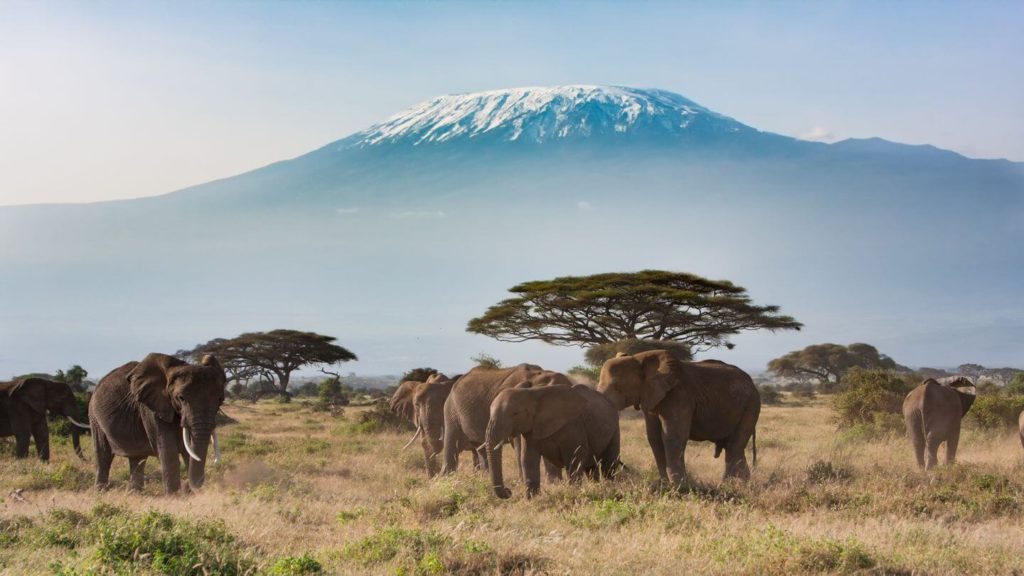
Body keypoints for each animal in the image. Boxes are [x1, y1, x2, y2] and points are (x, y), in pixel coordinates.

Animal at [89, 353, 226, 494]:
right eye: (181, 398)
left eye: (220, 399)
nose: (188, 486)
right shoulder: (152, 409)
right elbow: (168, 449)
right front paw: (174, 495)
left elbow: (187, 449)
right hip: (94, 417)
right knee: (103, 455)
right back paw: (100, 492)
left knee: (137, 457)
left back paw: (135, 493)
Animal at [485, 384, 620, 498]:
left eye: (515, 413)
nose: (509, 491)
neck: (532, 393)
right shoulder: (529, 430)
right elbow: (528, 459)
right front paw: (532, 500)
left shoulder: (573, 425)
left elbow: (574, 459)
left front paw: (574, 493)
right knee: (591, 469)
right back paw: (598, 486)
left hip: (614, 427)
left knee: (608, 466)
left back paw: (611, 487)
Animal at [597, 351, 760, 486]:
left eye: (617, 387)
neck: (640, 358)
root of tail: (752, 383)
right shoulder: (651, 398)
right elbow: (654, 438)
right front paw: (665, 484)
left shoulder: (680, 396)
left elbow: (673, 436)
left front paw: (679, 486)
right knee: (733, 447)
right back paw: (739, 484)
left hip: (750, 406)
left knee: (734, 447)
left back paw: (733, 485)